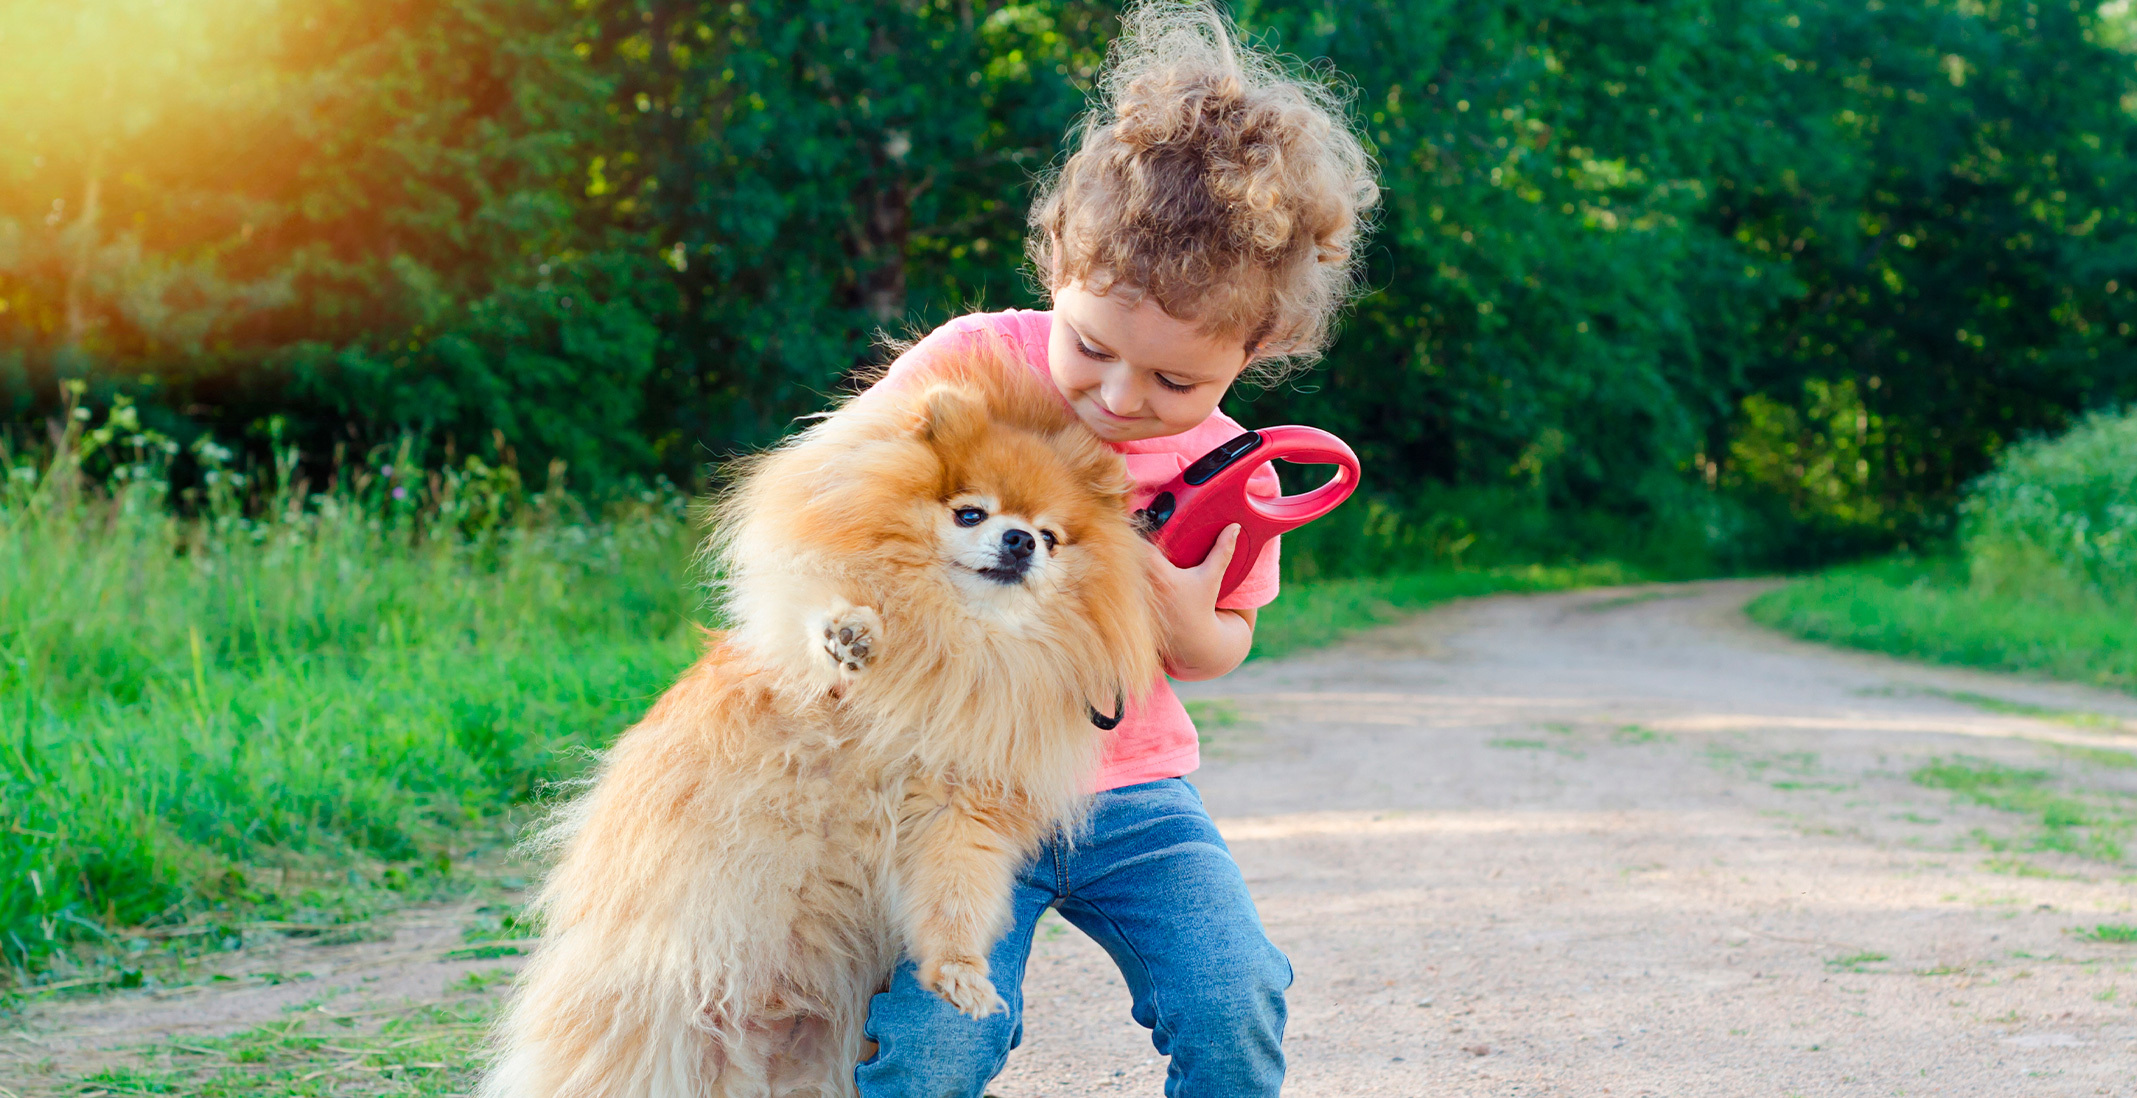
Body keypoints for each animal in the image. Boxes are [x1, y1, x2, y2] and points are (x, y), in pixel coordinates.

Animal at [478, 339, 1162, 1093]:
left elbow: (954, 896)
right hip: (654, 1032)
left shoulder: (961, 812)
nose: (1019, 543)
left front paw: (959, 971)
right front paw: (852, 633)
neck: (963, 641)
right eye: (970, 514)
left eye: (1049, 535)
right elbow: (817, 604)